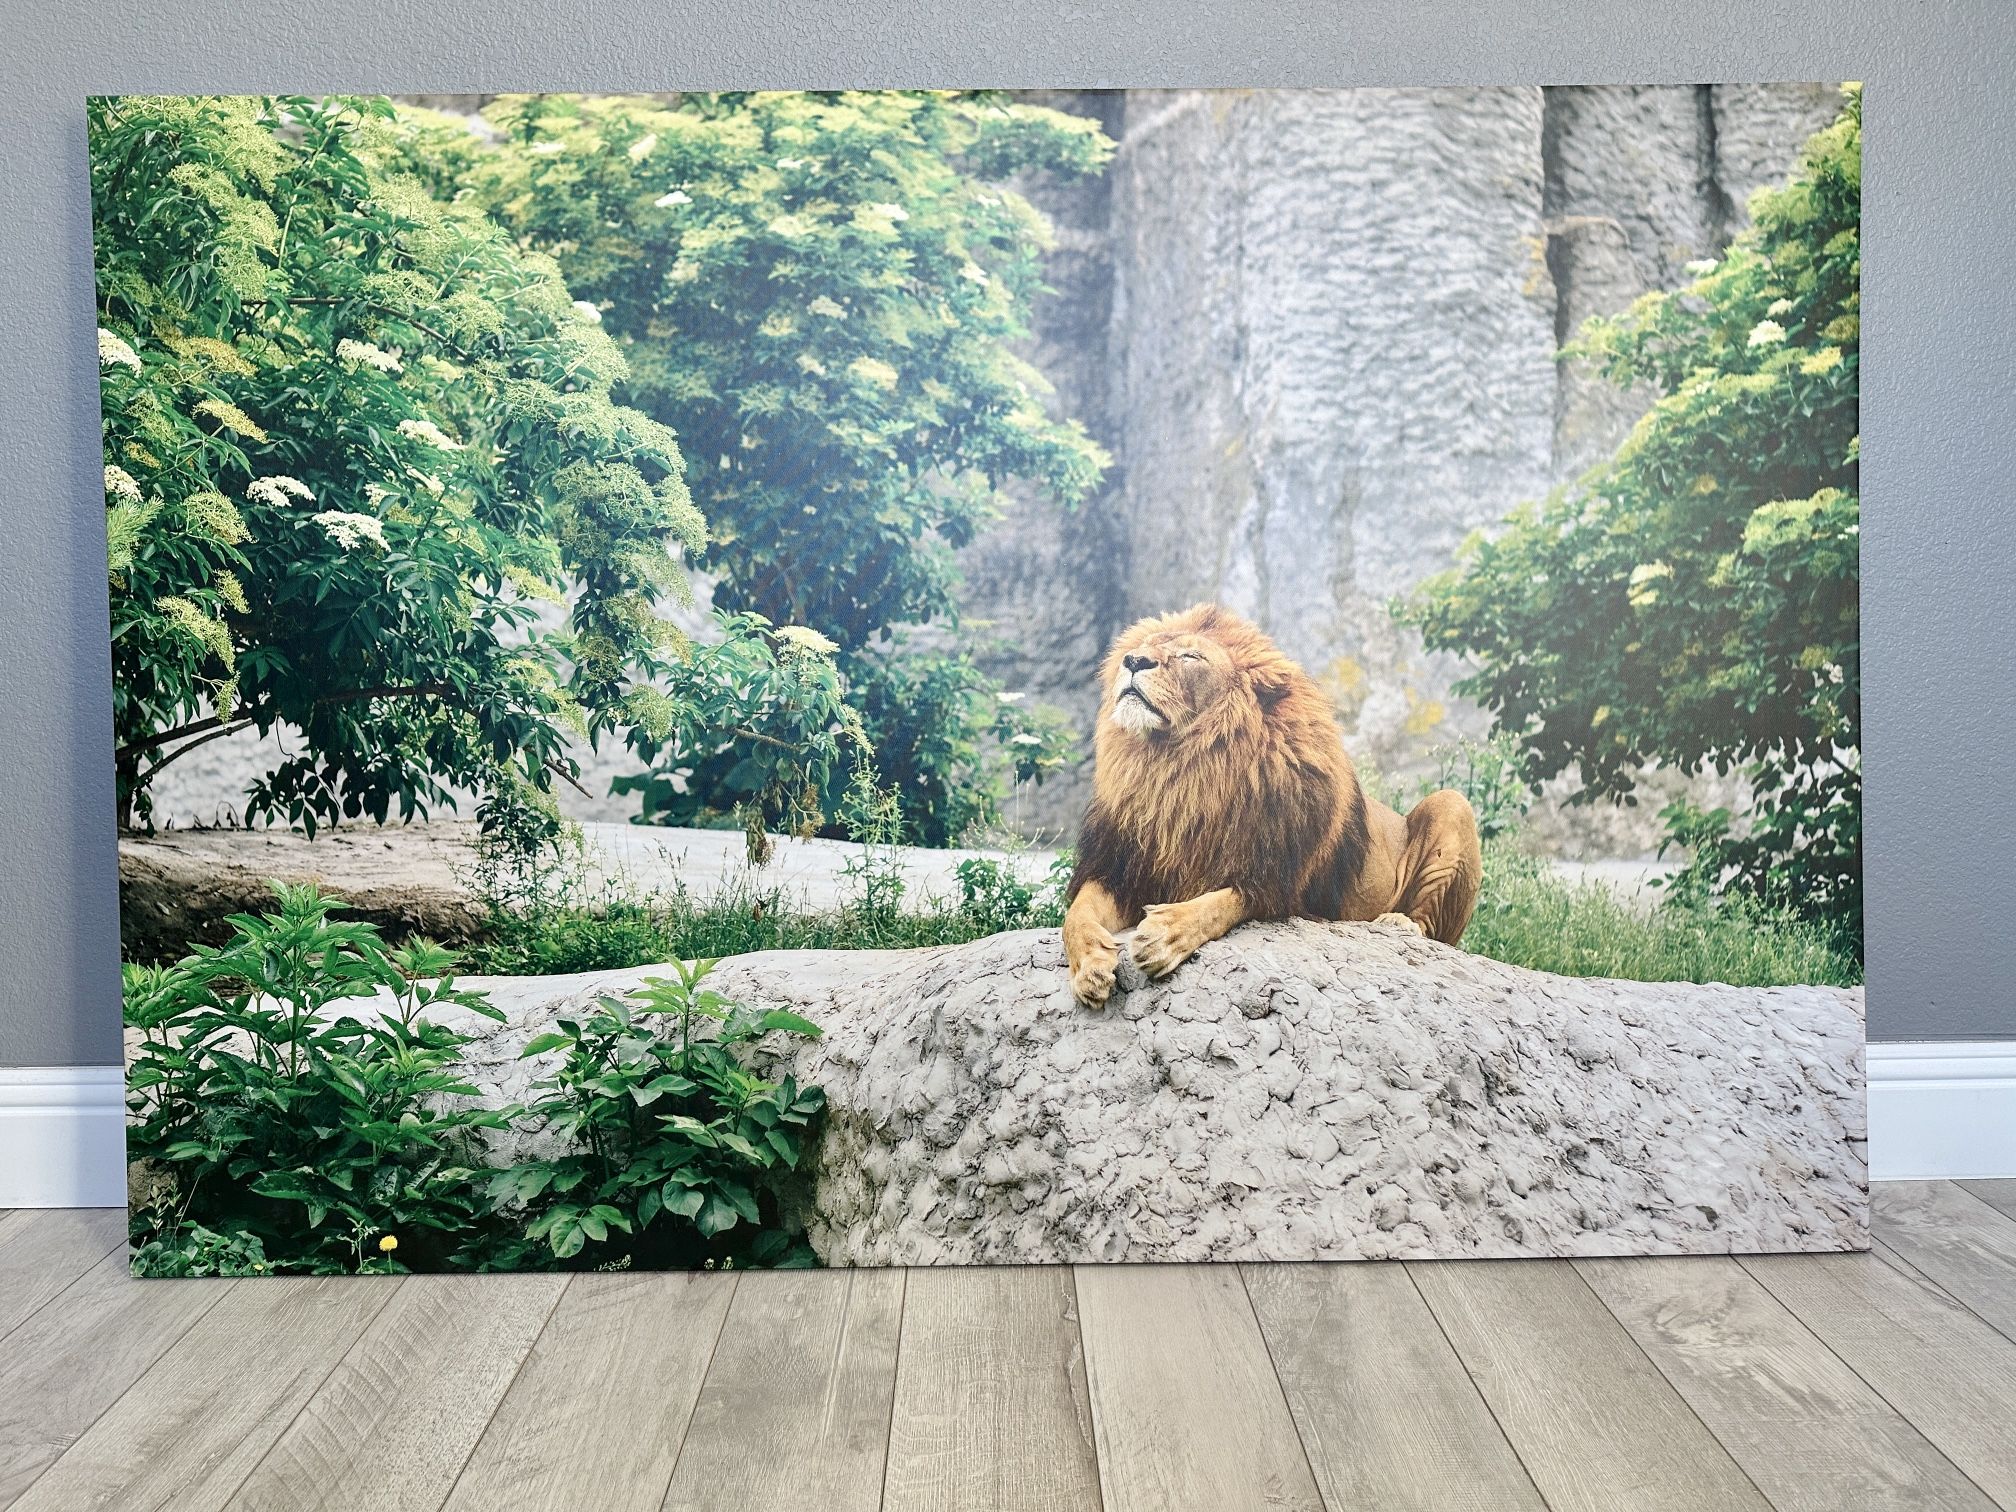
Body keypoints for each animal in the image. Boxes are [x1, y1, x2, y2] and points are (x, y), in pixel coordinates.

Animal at [1063, 603, 1482, 1009]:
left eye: (1191, 655)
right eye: (1144, 645)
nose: (1133, 660)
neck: (1179, 773)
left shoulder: (1276, 885)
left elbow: (1216, 905)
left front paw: (1163, 934)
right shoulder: (1120, 871)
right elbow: (1076, 916)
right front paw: (1090, 968)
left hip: (1453, 805)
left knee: (1432, 931)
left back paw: (1398, 923)